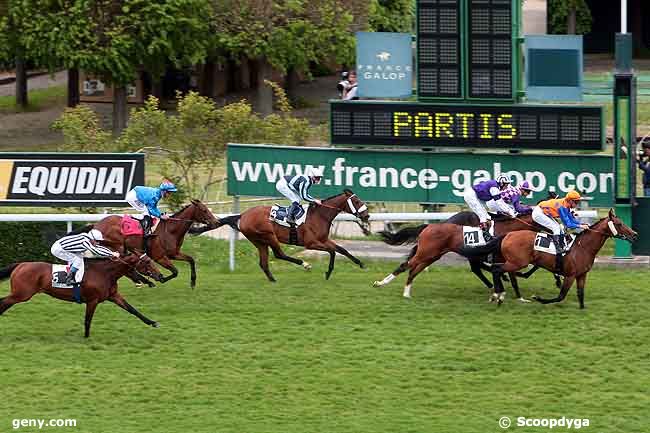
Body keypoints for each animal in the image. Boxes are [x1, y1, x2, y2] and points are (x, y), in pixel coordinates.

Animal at [0, 253, 163, 338]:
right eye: (147, 262)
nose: (160, 276)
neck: (105, 273)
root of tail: (20, 265)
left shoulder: (114, 296)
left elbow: (132, 309)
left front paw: (152, 322)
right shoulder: (92, 300)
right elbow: (87, 320)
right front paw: (86, 337)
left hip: (19, 295)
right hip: (21, 294)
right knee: (3, 301)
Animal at [69, 199, 218, 286]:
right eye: (204, 210)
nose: (216, 222)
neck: (170, 230)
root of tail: (96, 224)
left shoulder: (174, 254)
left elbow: (191, 260)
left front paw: (193, 281)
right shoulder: (160, 257)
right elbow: (175, 272)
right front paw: (159, 278)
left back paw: (139, 280)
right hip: (117, 247)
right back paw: (141, 280)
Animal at [190, 189, 368, 280]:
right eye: (357, 201)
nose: (366, 215)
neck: (319, 216)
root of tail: (242, 216)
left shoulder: (324, 240)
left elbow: (341, 249)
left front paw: (361, 264)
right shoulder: (311, 243)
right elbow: (332, 252)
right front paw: (328, 272)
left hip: (259, 241)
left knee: (264, 262)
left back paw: (273, 280)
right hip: (268, 236)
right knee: (279, 254)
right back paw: (304, 264)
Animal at [372, 223, 504, 300]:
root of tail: (428, 226)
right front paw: (498, 293)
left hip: (431, 256)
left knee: (413, 271)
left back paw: (406, 293)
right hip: (425, 253)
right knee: (405, 265)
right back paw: (380, 283)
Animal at [484, 208, 636, 308]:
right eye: (619, 224)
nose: (634, 234)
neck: (583, 247)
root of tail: (507, 235)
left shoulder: (582, 274)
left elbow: (581, 294)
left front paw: (582, 309)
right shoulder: (570, 275)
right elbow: (560, 296)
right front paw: (538, 298)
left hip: (513, 262)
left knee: (497, 270)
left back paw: (497, 294)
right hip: (517, 262)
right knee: (497, 269)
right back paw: (498, 296)